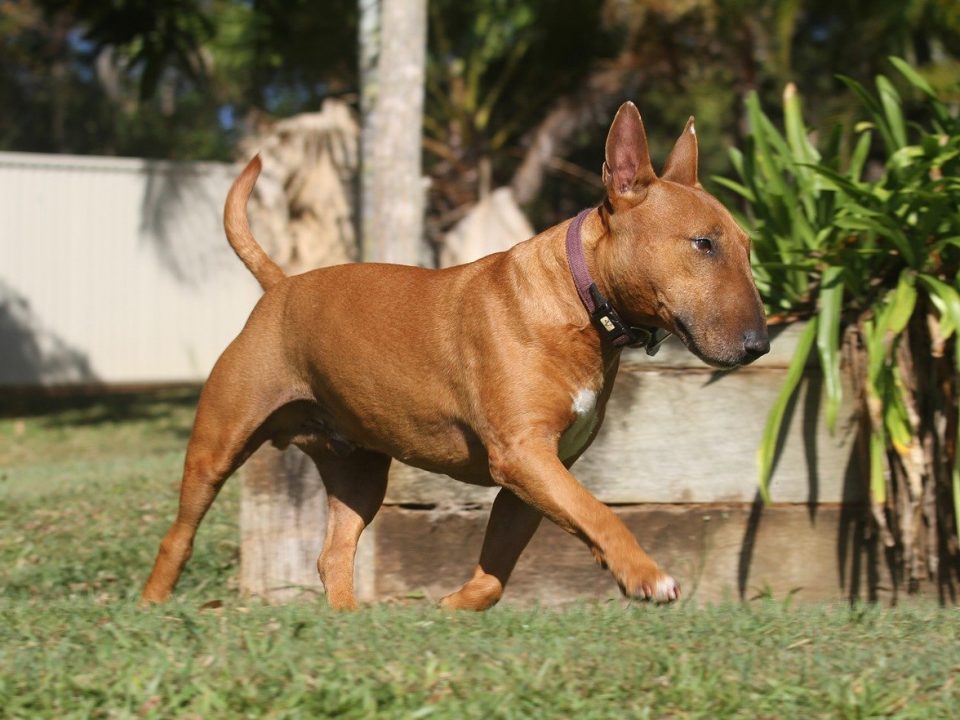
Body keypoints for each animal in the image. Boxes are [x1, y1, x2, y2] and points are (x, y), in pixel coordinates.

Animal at [142, 101, 768, 608]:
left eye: (747, 247)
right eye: (703, 244)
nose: (759, 345)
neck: (578, 298)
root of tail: (281, 285)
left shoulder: (538, 475)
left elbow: (497, 575)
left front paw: (450, 608)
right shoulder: (522, 457)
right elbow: (599, 513)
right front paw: (645, 575)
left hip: (359, 472)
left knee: (333, 553)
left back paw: (350, 624)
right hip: (218, 442)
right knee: (179, 534)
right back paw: (153, 604)